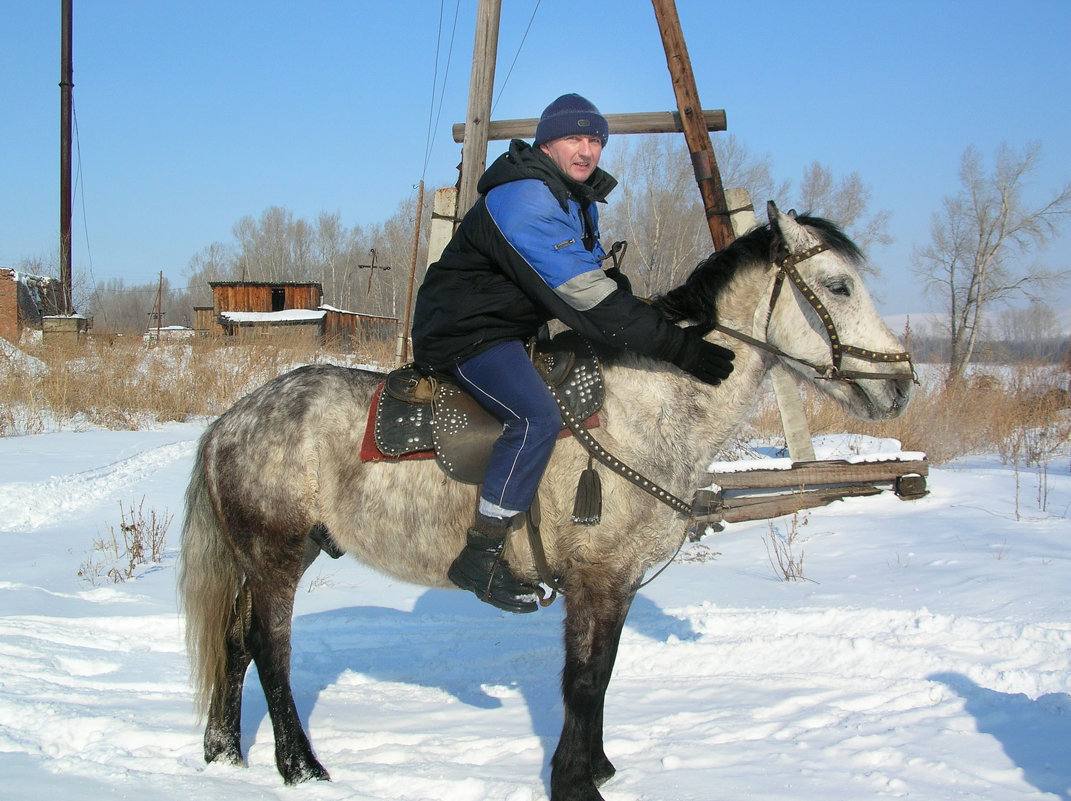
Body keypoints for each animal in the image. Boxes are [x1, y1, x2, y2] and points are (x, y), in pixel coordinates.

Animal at [182, 203, 912, 801]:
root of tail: (230, 421)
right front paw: (574, 782)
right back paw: (300, 767)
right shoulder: (596, 579)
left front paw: (598, 768)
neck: (643, 407)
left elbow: (602, 674)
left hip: (285, 552)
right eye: (839, 286)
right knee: (268, 646)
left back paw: (224, 754)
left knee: (234, 641)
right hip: (276, 554)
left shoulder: (617, 583)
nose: (901, 382)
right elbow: (583, 681)